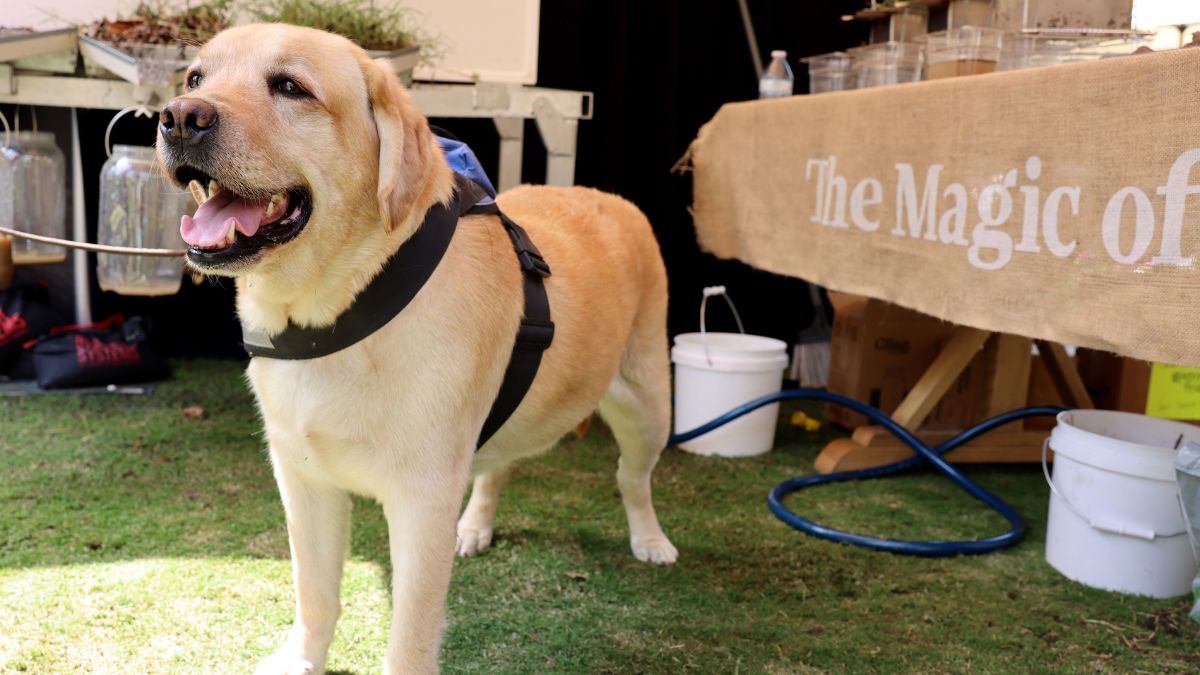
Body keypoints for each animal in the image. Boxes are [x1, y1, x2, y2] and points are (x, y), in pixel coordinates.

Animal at [158, 23, 681, 667]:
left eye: (290, 87)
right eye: (195, 78)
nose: (179, 117)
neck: (339, 307)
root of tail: (609, 195)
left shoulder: (422, 502)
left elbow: (408, 637)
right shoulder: (304, 480)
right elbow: (314, 595)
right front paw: (304, 659)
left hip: (647, 405)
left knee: (632, 477)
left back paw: (650, 538)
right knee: (498, 467)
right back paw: (476, 525)